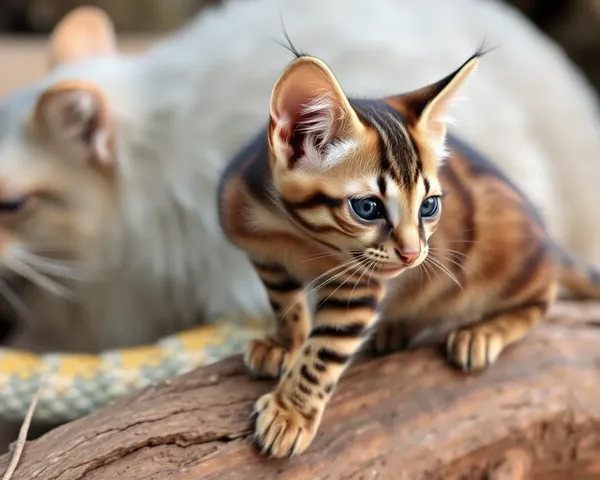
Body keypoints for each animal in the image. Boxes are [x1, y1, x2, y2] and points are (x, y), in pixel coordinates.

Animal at [219, 50, 600, 460]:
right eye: (368, 207)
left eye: (428, 206)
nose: (412, 254)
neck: (294, 236)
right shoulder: (265, 256)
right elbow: (284, 303)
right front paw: (284, 342)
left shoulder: (359, 286)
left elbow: (323, 352)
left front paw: (290, 412)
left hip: (514, 266)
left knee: (541, 298)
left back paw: (481, 332)